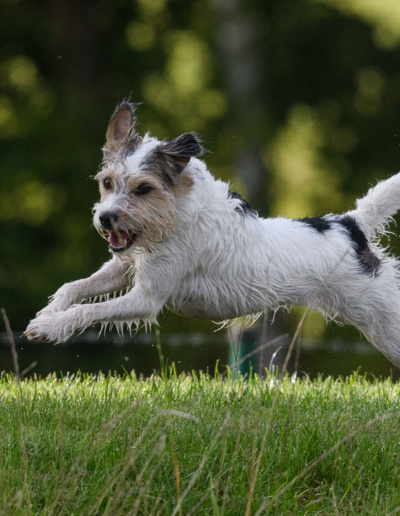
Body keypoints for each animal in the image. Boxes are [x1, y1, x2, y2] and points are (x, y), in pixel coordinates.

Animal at [24, 102, 400, 366]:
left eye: (144, 189)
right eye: (106, 182)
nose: (105, 218)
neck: (175, 216)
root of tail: (350, 226)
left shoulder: (146, 298)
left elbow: (88, 311)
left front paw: (51, 328)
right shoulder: (126, 268)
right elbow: (74, 288)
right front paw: (47, 313)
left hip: (385, 321)